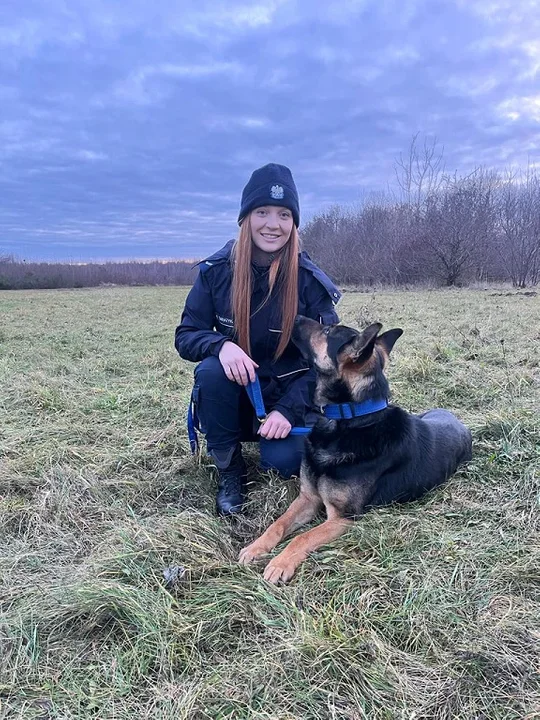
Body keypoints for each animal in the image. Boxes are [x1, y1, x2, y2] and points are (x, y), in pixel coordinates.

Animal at [240, 316, 472, 584]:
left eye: (327, 330)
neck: (348, 419)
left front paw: (280, 562)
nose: (295, 317)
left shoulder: (343, 518)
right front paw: (255, 547)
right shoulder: (307, 498)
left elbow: (302, 537)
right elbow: (277, 524)